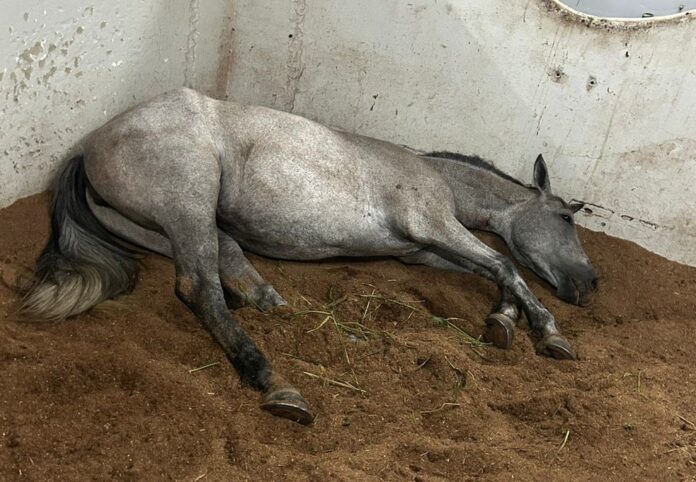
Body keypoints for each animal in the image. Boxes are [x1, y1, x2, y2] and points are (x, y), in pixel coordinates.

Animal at [20, 87, 600, 426]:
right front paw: (549, 333)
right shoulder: (434, 225)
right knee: (199, 287)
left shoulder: (423, 251)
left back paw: (295, 318)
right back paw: (278, 385)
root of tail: (88, 148)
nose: (590, 283)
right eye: (566, 218)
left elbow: (495, 271)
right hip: (189, 204)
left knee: (232, 269)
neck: (435, 177)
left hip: (170, 227)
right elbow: (504, 264)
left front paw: (505, 320)